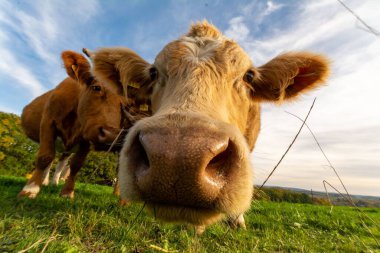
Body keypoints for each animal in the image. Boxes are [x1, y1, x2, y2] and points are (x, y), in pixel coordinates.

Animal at [18, 50, 150, 200]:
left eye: (128, 104)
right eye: (96, 87)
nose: (111, 135)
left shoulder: (87, 136)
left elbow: (76, 164)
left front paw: (67, 192)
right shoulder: (48, 122)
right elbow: (45, 156)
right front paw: (30, 189)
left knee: (62, 160)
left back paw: (53, 183)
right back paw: (44, 182)